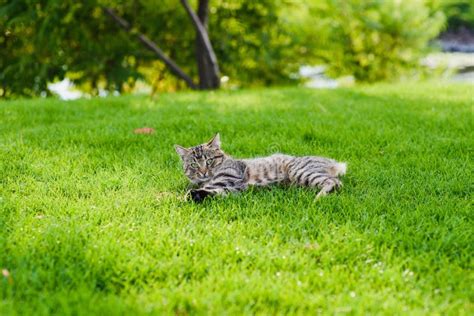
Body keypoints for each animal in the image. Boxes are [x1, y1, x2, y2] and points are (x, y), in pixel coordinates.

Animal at [176, 133, 346, 202]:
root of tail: (333, 162)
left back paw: (318, 198)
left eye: (209, 161)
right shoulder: (233, 189)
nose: (203, 172)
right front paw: (194, 195)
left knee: (335, 183)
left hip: (299, 171)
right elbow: (210, 191)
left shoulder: (226, 178)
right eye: (193, 164)